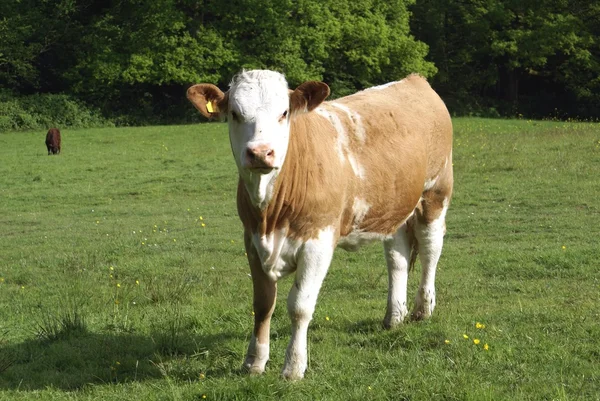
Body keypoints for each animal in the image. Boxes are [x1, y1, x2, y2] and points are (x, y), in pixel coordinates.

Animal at [185, 69, 452, 378]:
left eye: (284, 112)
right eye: (235, 113)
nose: (261, 152)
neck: (270, 214)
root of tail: (414, 79)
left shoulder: (318, 242)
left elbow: (300, 306)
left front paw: (293, 367)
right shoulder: (251, 240)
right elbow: (262, 304)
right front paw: (254, 361)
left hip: (436, 194)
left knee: (431, 249)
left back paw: (423, 309)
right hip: (393, 207)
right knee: (397, 258)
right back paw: (394, 316)